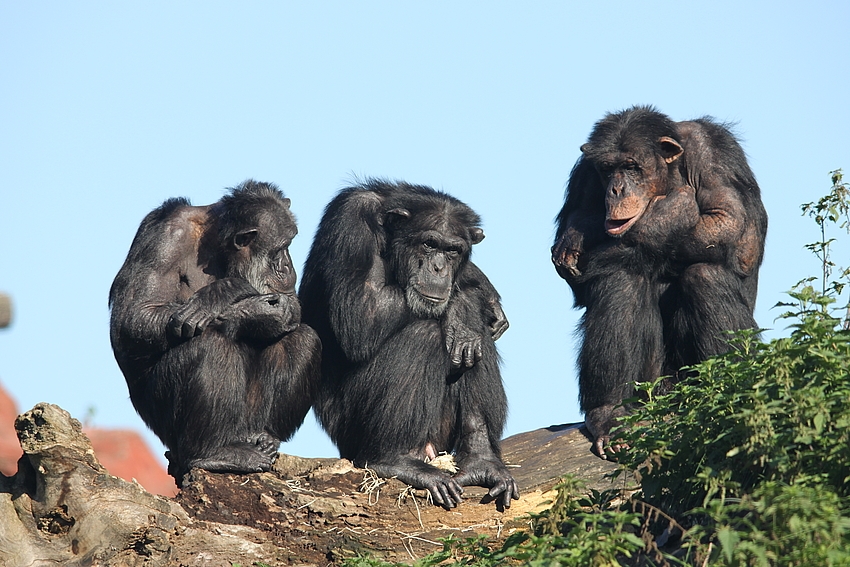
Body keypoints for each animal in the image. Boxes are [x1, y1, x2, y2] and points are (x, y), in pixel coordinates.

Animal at [106, 180, 318, 482]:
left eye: (289, 245)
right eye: (281, 248)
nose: (287, 265)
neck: (217, 245)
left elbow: (292, 306)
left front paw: (247, 306)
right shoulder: (164, 238)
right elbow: (134, 316)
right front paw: (231, 295)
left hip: (249, 422)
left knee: (302, 338)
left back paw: (266, 438)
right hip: (165, 428)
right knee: (208, 345)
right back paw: (213, 453)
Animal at [298, 181, 516, 510]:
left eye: (453, 250)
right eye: (429, 244)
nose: (438, 268)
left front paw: (471, 298)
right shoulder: (351, 219)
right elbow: (361, 310)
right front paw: (463, 304)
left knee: (478, 343)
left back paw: (482, 461)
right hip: (351, 433)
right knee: (424, 334)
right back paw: (393, 460)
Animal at [548, 106, 768, 460]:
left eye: (631, 167)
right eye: (608, 169)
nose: (617, 190)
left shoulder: (714, 151)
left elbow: (730, 223)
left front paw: (670, 211)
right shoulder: (585, 173)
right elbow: (577, 272)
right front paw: (580, 231)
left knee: (704, 277)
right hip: (648, 387)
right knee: (619, 282)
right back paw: (609, 414)